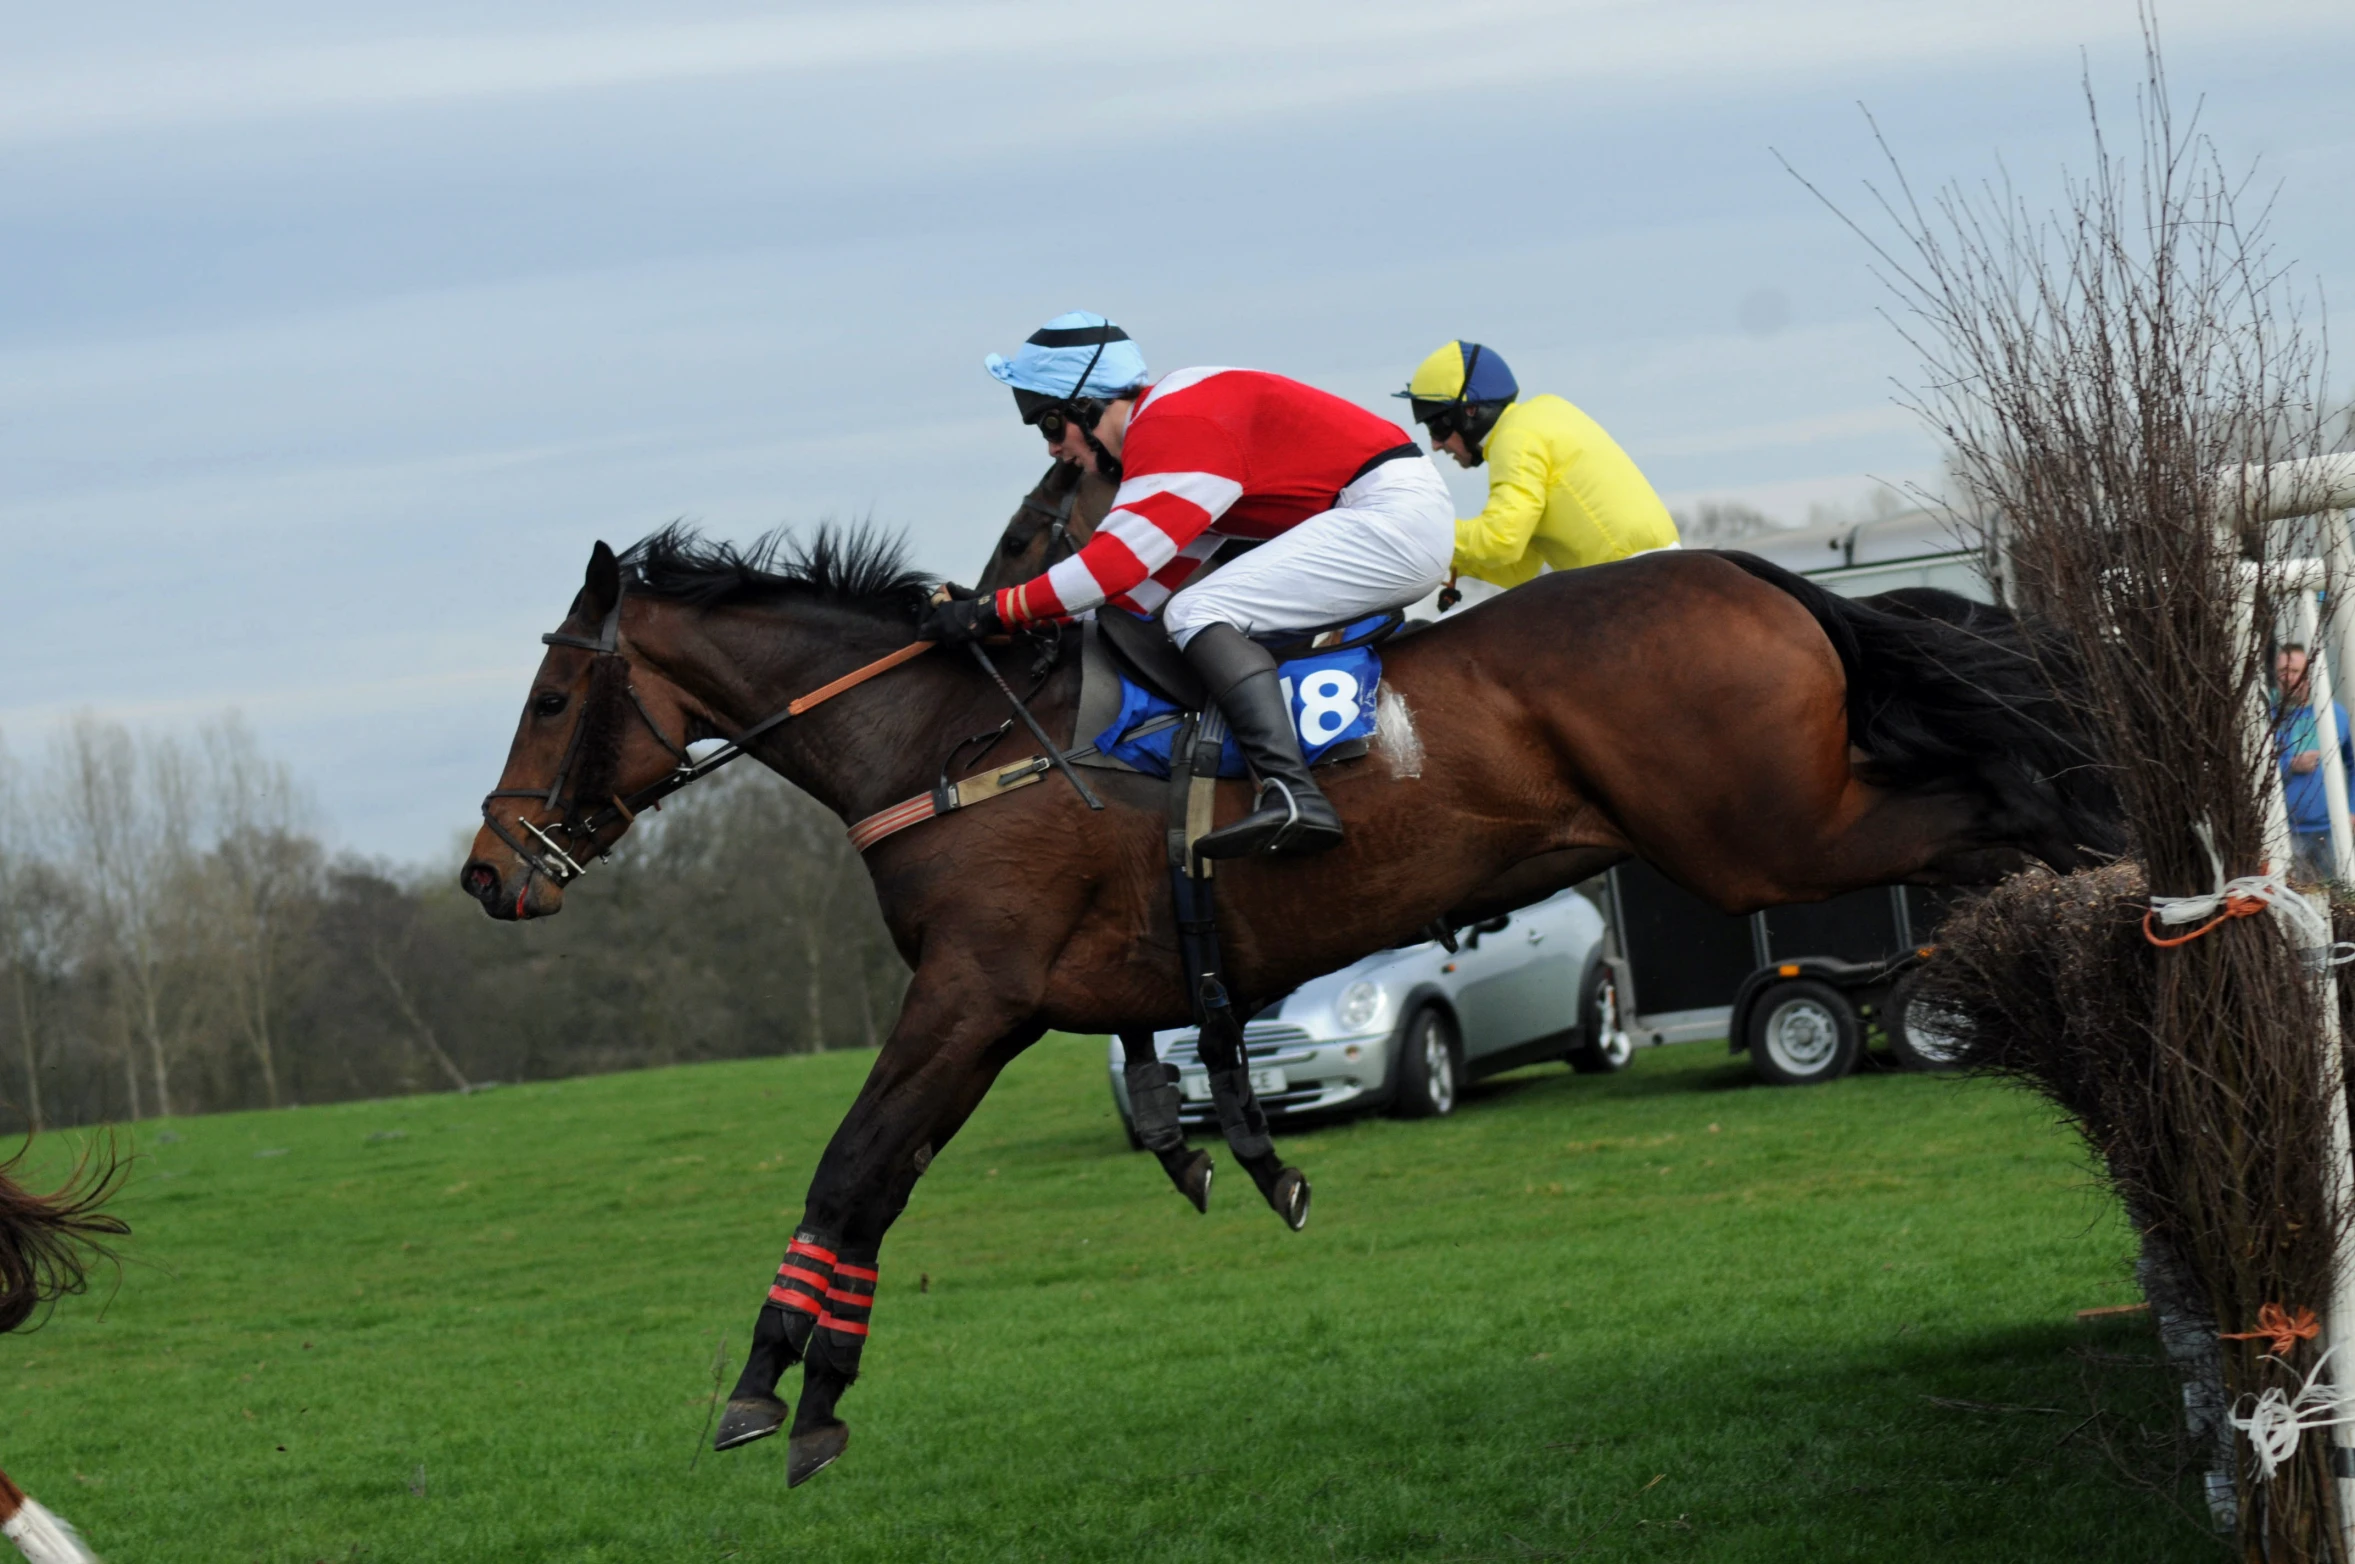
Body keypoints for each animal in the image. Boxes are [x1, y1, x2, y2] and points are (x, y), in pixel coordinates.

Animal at [459, 522, 2119, 1479]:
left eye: (548, 697)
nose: (487, 874)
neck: (937, 744)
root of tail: (1757, 573)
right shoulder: (1027, 1004)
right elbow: (910, 1168)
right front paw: (809, 1391)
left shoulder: (972, 989)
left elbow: (851, 1170)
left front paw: (769, 1392)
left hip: (1762, 832)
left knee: (2013, 791)